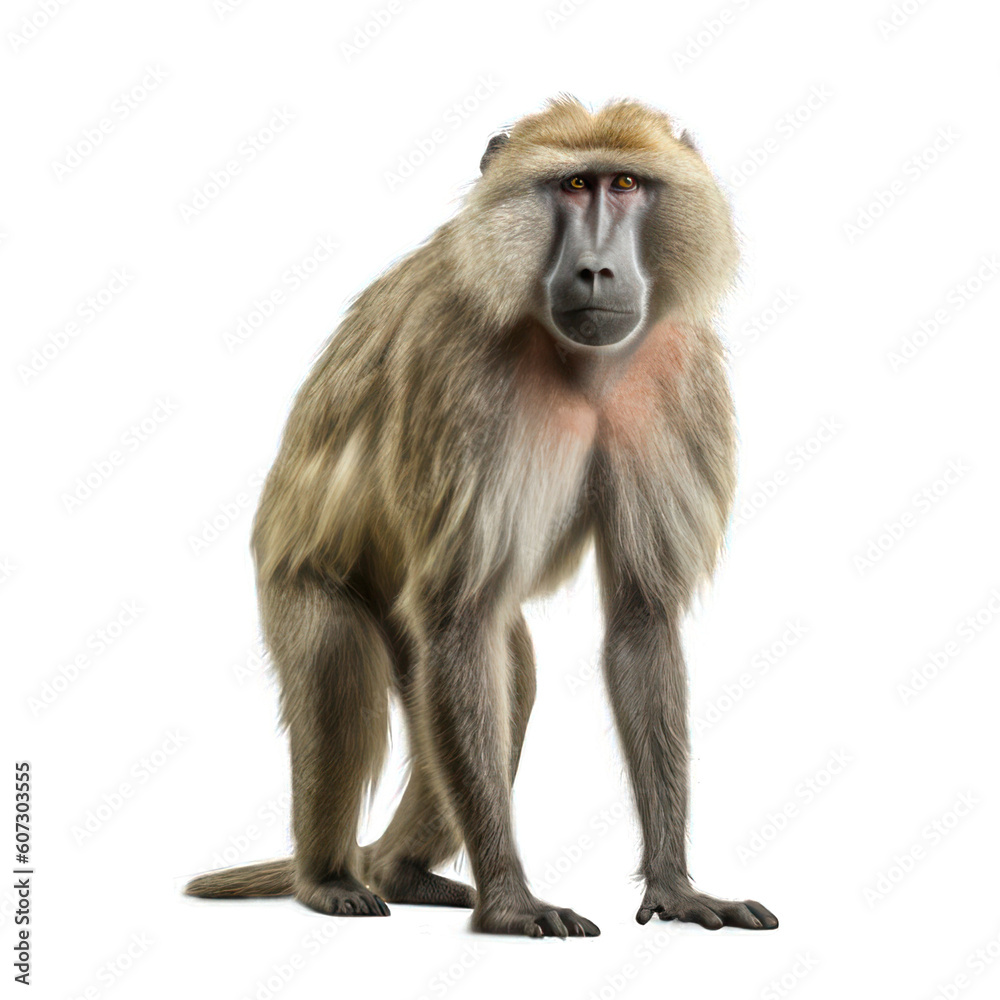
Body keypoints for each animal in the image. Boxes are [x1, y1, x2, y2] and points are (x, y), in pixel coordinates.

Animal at [184, 97, 778, 938]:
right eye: (573, 185)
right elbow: (459, 617)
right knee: (346, 686)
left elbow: (641, 620)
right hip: (295, 573)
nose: (597, 270)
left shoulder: (675, 375)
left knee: (504, 677)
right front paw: (511, 899)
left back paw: (401, 871)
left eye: (626, 183)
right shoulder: (461, 369)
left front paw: (675, 884)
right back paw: (330, 877)